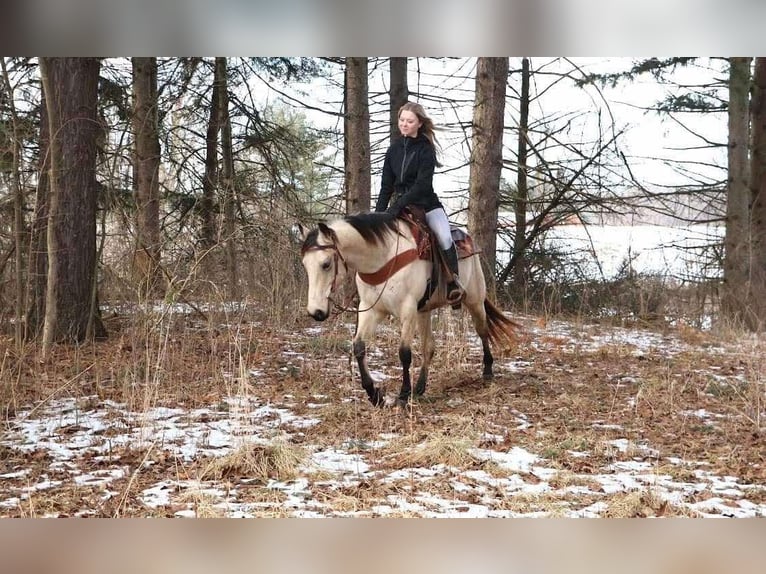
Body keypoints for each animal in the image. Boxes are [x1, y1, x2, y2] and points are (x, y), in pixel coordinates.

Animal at [296, 213, 520, 410]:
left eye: (326, 264)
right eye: (305, 265)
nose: (316, 312)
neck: (383, 258)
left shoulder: (408, 310)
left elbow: (404, 353)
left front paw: (403, 396)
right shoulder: (371, 310)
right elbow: (359, 347)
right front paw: (374, 394)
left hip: (474, 300)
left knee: (482, 331)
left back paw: (488, 372)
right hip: (424, 312)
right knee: (429, 347)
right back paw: (419, 388)